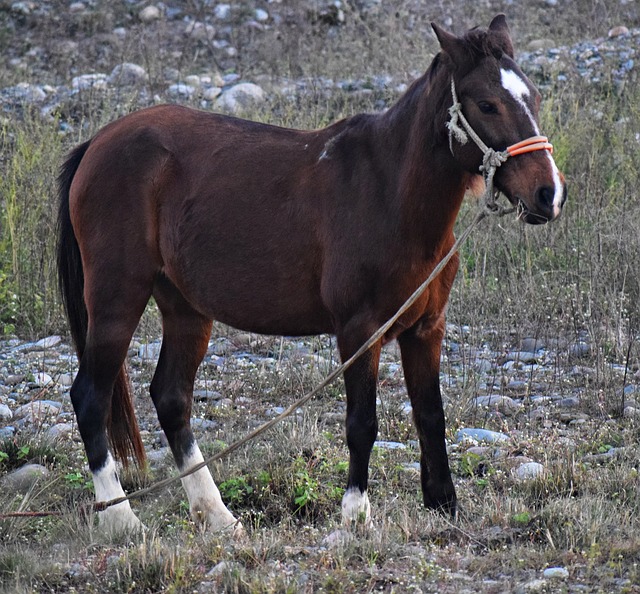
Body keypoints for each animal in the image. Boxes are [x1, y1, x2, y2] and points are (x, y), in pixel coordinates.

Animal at [55, 13, 564, 532]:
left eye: (534, 97)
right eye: (487, 104)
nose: (549, 194)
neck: (389, 194)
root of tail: (97, 143)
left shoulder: (426, 327)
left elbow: (430, 413)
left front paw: (444, 504)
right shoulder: (360, 330)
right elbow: (362, 423)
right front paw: (355, 514)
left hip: (185, 308)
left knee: (171, 398)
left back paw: (217, 516)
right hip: (117, 299)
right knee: (90, 399)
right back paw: (121, 518)